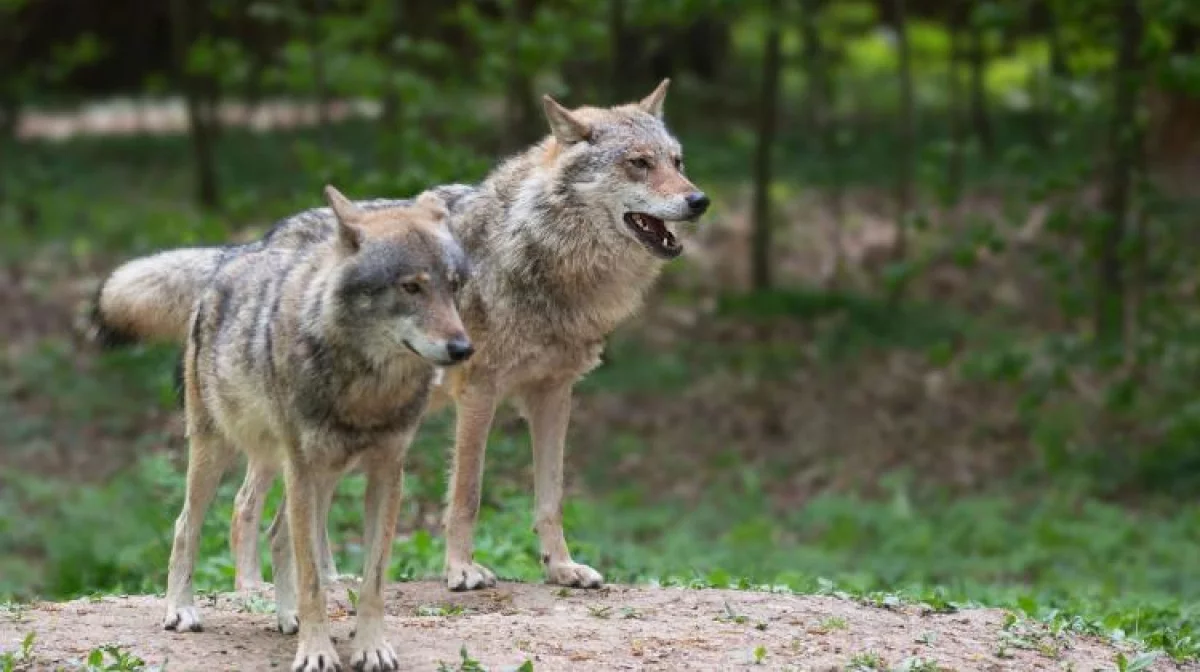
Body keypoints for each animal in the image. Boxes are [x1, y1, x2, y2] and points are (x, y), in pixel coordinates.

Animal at [98, 79, 710, 592]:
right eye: (638, 164)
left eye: (677, 162)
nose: (698, 200)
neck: (545, 255)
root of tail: (254, 243)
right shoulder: (479, 392)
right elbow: (467, 494)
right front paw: (461, 570)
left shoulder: (554, 395)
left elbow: (551, 498)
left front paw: (560, 568)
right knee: (250, 508)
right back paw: (266, 589)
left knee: (268, 508)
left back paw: (299, 585)